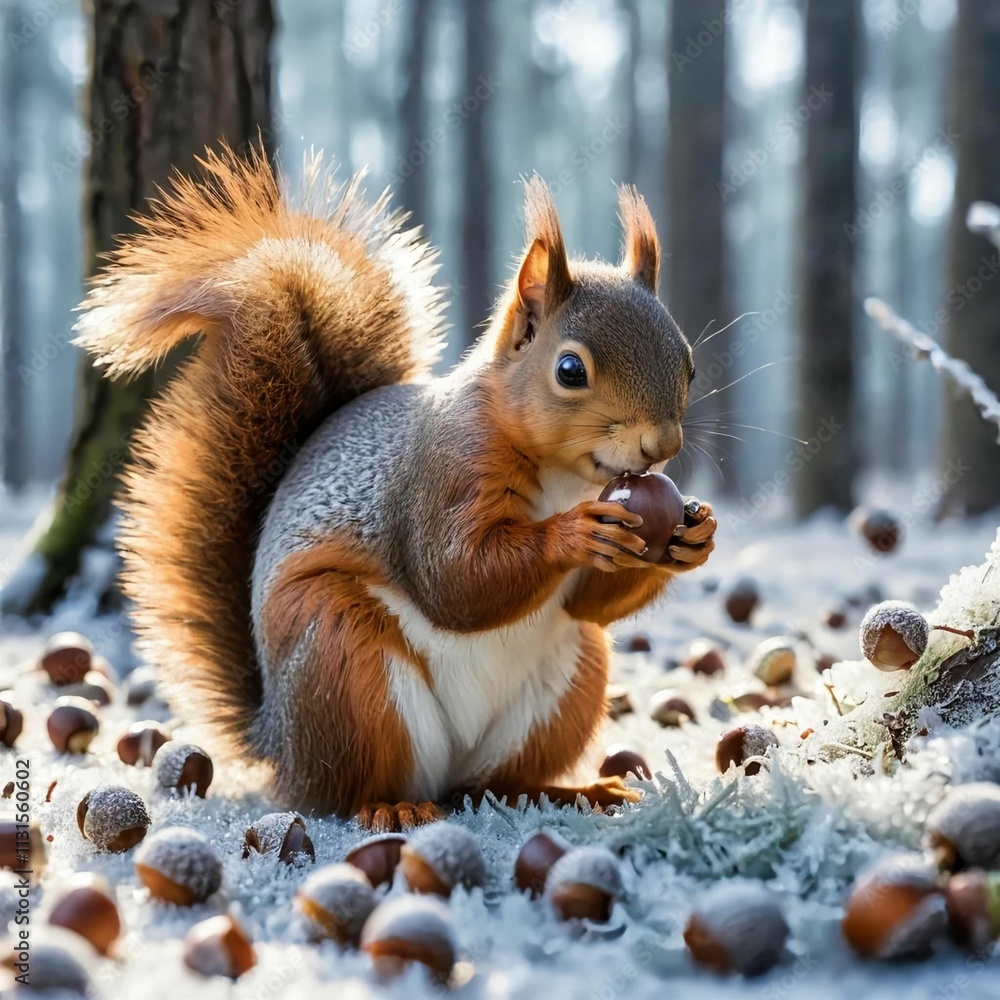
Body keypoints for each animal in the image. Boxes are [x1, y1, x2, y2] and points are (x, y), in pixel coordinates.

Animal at [74, 146, 717, 829]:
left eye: (688, 363)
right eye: (570, 370)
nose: (661, 446)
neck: (567, 475)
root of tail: (279, 743)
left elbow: (588, 604)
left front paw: (695, 536)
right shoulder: (442, 473)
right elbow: (453, 577)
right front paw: (572, 534)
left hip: (568, 682)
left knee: (495, 782)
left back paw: (574, 793)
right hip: (344, 660)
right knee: (351, 787)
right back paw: (392, 806)